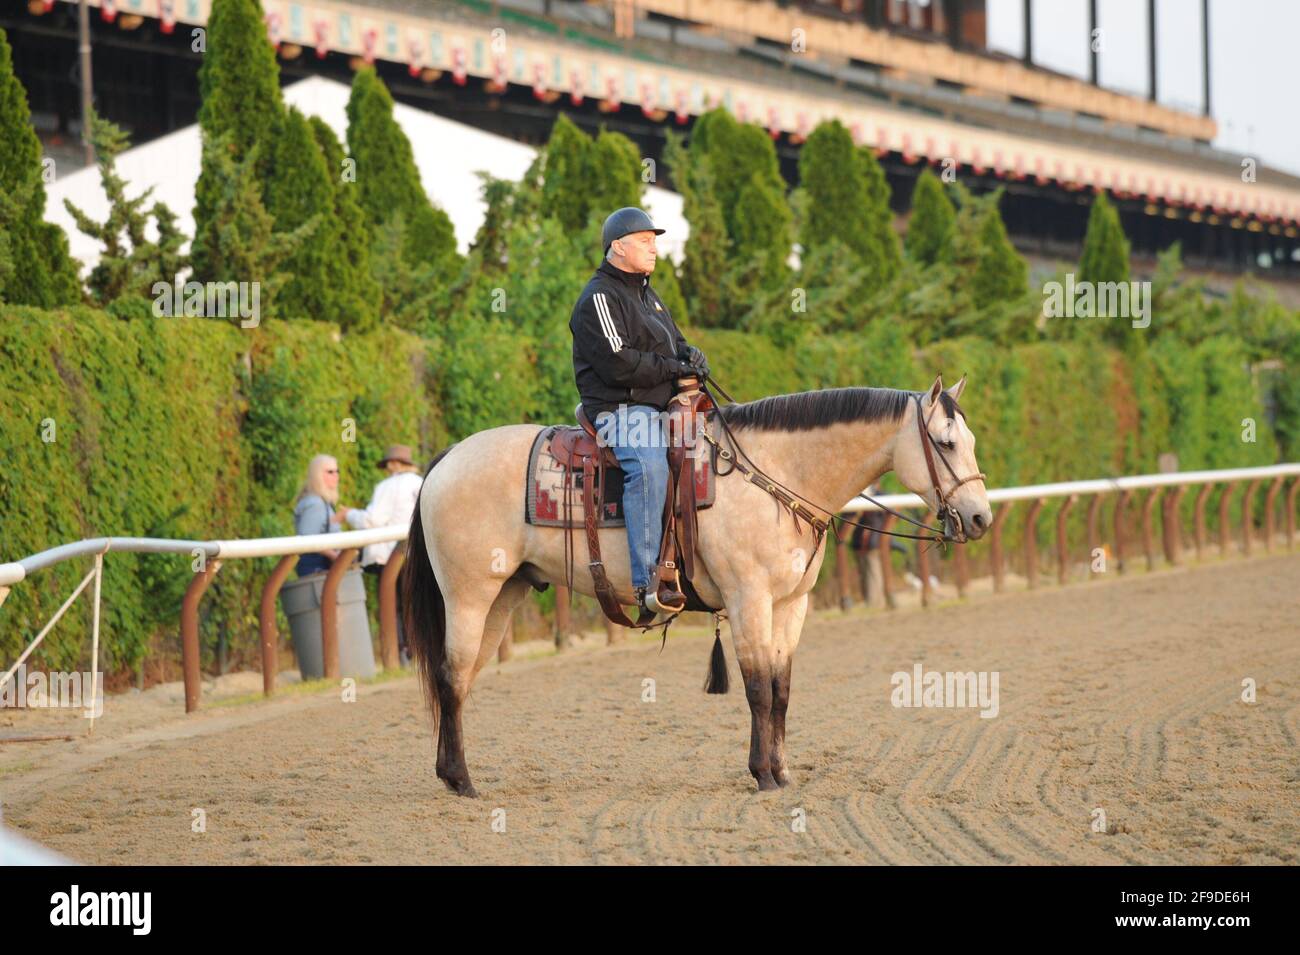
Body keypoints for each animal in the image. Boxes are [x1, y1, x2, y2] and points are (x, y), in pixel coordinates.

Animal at [400, 376, 987, 795]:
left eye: (972, 441)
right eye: (944, 442)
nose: (980, 517)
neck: (774, 475)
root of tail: (445, 460)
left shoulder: (790, 606)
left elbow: (781, 689)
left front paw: (782, 770)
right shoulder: (749, 600)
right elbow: (757, 688)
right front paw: (763, 775)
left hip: (503, 596)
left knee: (462, 679)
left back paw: (451, 774)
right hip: (468, 596)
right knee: (450, 677)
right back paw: (464, 782)